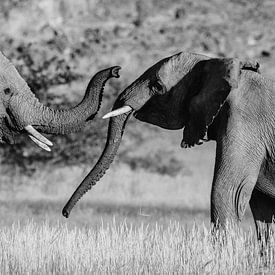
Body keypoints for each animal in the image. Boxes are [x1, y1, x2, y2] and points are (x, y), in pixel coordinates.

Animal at [61, 51, 274, 242]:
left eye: (157, 86)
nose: (65, 214)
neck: (214, 63)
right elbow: (262, 207)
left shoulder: (245, 120)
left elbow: (229, 192)